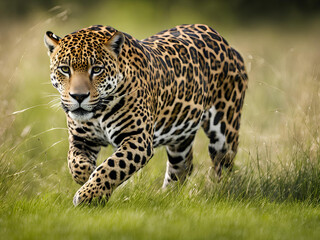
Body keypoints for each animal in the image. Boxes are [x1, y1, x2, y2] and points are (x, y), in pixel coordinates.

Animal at [43, 23, 248, 205]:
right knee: (183, 166)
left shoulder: (138, 139)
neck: (99, 111)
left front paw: (89, 195)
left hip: (224, 131)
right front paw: (86, 175)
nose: (78, 96)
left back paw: (217, 191)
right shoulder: (82, 138)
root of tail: (227, 44)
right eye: (64, 69)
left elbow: (112, 167)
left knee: (223, 166)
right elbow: (75, 161)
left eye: (97, 70)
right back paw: (166, 198)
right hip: (181, 135)